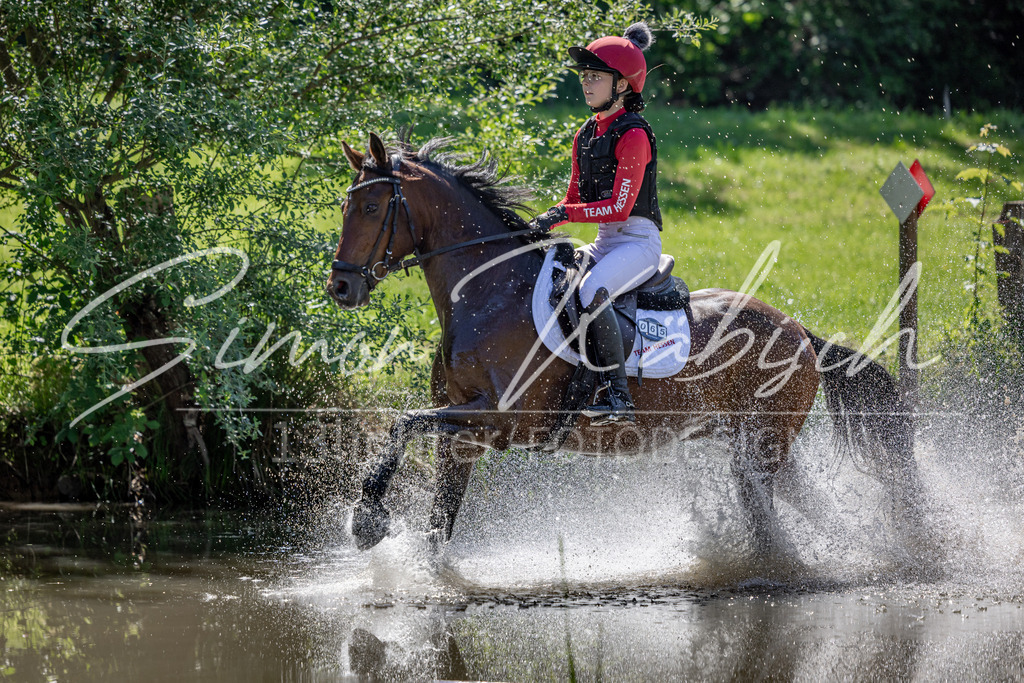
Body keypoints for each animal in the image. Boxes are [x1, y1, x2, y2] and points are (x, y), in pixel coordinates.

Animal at [326, 133, 920, 555]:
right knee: (805, 509)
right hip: (751, 444)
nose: (341, 287)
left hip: (761, 447)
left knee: (771, 521)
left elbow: (403, 423)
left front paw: (366, 519)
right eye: (344, 207)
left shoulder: (502, 418)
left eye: (374, 209)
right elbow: (435, 516)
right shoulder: (463, 434)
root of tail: (798, 330)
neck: (489, 293)